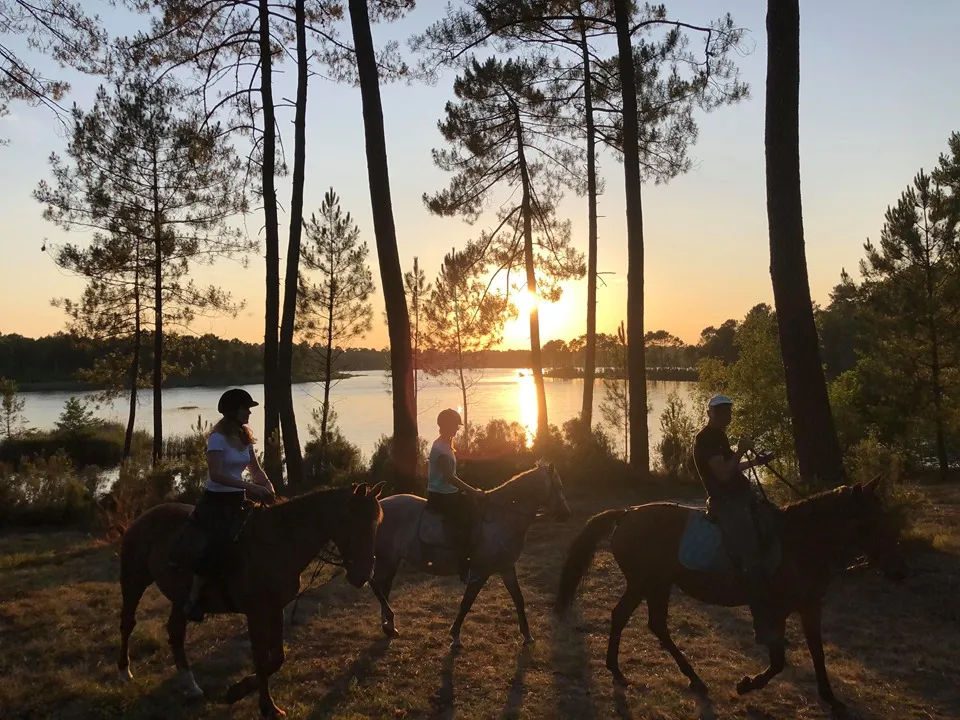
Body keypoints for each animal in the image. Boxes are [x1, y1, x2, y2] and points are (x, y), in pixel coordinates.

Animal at [114, 480, 380, 716]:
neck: (278, 542)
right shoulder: (256, 612)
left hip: (179, 597)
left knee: (176, 632)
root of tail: (141, 519)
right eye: (353, 522)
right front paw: (268, 707)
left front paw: (237, 690)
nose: (364, 575)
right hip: (134, 581)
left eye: (376, 524)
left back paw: (190, 686)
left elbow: (277, 657)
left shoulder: (276, 608)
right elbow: (261, 659)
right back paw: (124, 672)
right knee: (128, 623)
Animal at [370, 462, 568, 652]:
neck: (502, 517)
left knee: (383, 588)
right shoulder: (482, 570)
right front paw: (455, 638)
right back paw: (389, 623)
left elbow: (518, 598)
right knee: (376, 585)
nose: (566, 513)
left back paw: (388, 626)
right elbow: (467, 602)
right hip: (386, 559)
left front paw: (527, 636)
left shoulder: (506, 566)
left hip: (391, 561)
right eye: (558, 486)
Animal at [556, 478, 908, 716]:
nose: (899, 570)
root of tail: (626, 514)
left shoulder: (810, 608)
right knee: (635, 619)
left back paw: (660, 675)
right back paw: (642, 673)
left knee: (644, 621)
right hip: (647, 582)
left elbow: (817, 654)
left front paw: (831, 698)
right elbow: (778, 661)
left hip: (655, 584)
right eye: (872, 521)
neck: (799, 542)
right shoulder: (775, 610)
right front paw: (747, 684)